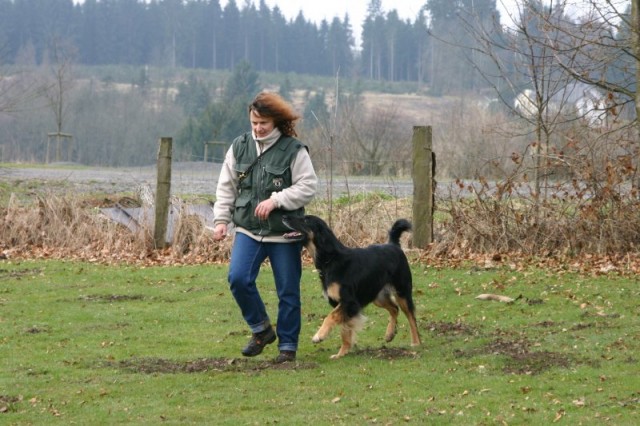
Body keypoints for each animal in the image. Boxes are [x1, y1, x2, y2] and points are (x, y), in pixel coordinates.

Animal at [282, 215, 422, 358]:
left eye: (306, 220)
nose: (284, 216)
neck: (331, 260)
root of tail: (393, 245)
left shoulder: (350, 302)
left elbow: (330, 317)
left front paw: (319, 335)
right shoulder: (342, 305)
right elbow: (345, 331)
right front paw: (341, 354)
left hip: (402, 292)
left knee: (411, 317)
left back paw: (416, 342)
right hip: (378, 296)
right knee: (394, 308)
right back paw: (389, 333)